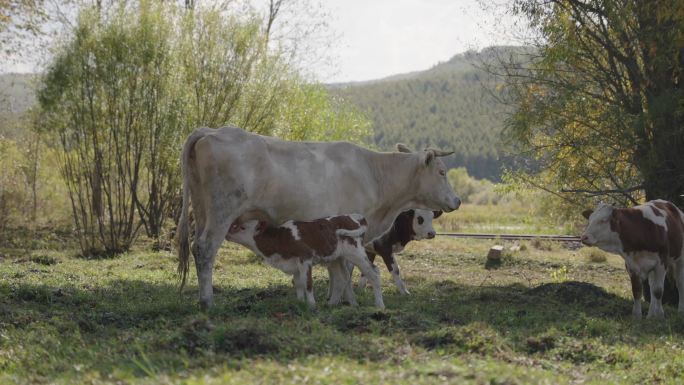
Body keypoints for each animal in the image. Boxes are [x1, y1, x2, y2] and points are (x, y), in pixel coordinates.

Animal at [226, 214, 382, 308]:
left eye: (241, 227)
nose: (227, 234)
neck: (281, 239)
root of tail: (354, 217)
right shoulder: (294, 264)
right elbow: (299, 284)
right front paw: (300, 302)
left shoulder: (305, 258)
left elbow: (307, 283)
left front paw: (312, 306)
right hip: (336, 258)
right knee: (341, 278)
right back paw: (333, 304)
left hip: (356, 253)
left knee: (373, 273)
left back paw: (380, 306)